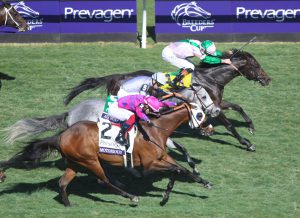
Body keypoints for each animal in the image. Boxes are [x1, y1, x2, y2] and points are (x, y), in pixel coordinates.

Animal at [0, 103, 211, 206]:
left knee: (63, 183)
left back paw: (68, 205)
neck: (154, 130)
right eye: (201, 114)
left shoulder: (163, 157)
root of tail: (62, 135)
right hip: (91, 160)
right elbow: (176, 170)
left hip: (75, 163)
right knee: (103, 181)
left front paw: (205, 182)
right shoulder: (150, 164)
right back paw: (131, 197)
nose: (209, 129)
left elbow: (182, 169)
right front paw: (165, 196)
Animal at [63, 49, 272, 152]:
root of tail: (119, 77)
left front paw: (250, 126)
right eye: (255, 65)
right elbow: (229, 125)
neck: (211, 79)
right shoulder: (210, 106)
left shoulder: (215, 103)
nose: (267, 79)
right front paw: (247, 143)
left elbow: (237, 106)